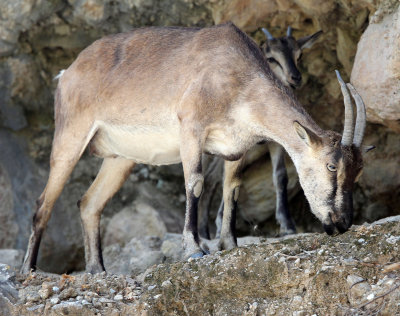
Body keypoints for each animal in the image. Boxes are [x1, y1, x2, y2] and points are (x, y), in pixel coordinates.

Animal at [209, 26, 322, 239]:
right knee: (213, 177)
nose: (295, 77)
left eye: (299, 55)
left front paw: (287, 224)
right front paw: (222, 227)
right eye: (271, 58)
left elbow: (280, 176)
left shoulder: (276, 142)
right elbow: (230, 179)